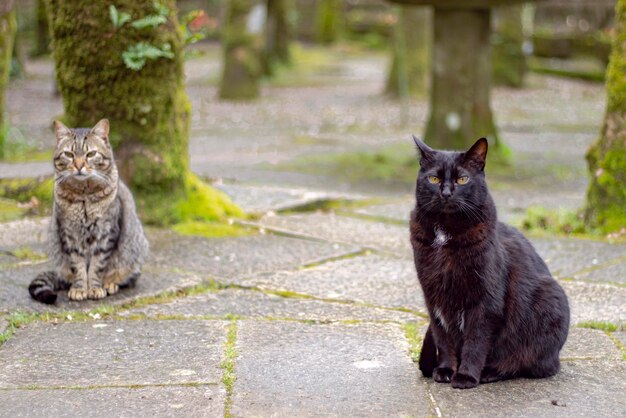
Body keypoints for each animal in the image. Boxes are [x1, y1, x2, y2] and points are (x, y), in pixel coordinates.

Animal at [29, 119, 149, 302]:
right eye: (69, 154)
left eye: (91, 154)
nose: (79, 165)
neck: (84, 197)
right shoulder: (69, 234)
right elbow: (78, 266)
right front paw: (79, 289)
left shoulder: (107, 233)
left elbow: (97, 266)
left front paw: (94, 288)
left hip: (134, 251)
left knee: (127, 277)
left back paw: (110, 284)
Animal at [408, 136, 568, 388]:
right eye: (433, 179)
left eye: (462, 179)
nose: (446, 193)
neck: (446, 231)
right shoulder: (434, 297)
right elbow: (443, 338)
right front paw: (445, 370)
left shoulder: (486, 301)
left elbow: (476, 341)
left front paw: (466, 376)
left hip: (550, 298)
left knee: (527, 364)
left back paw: (488, 373)